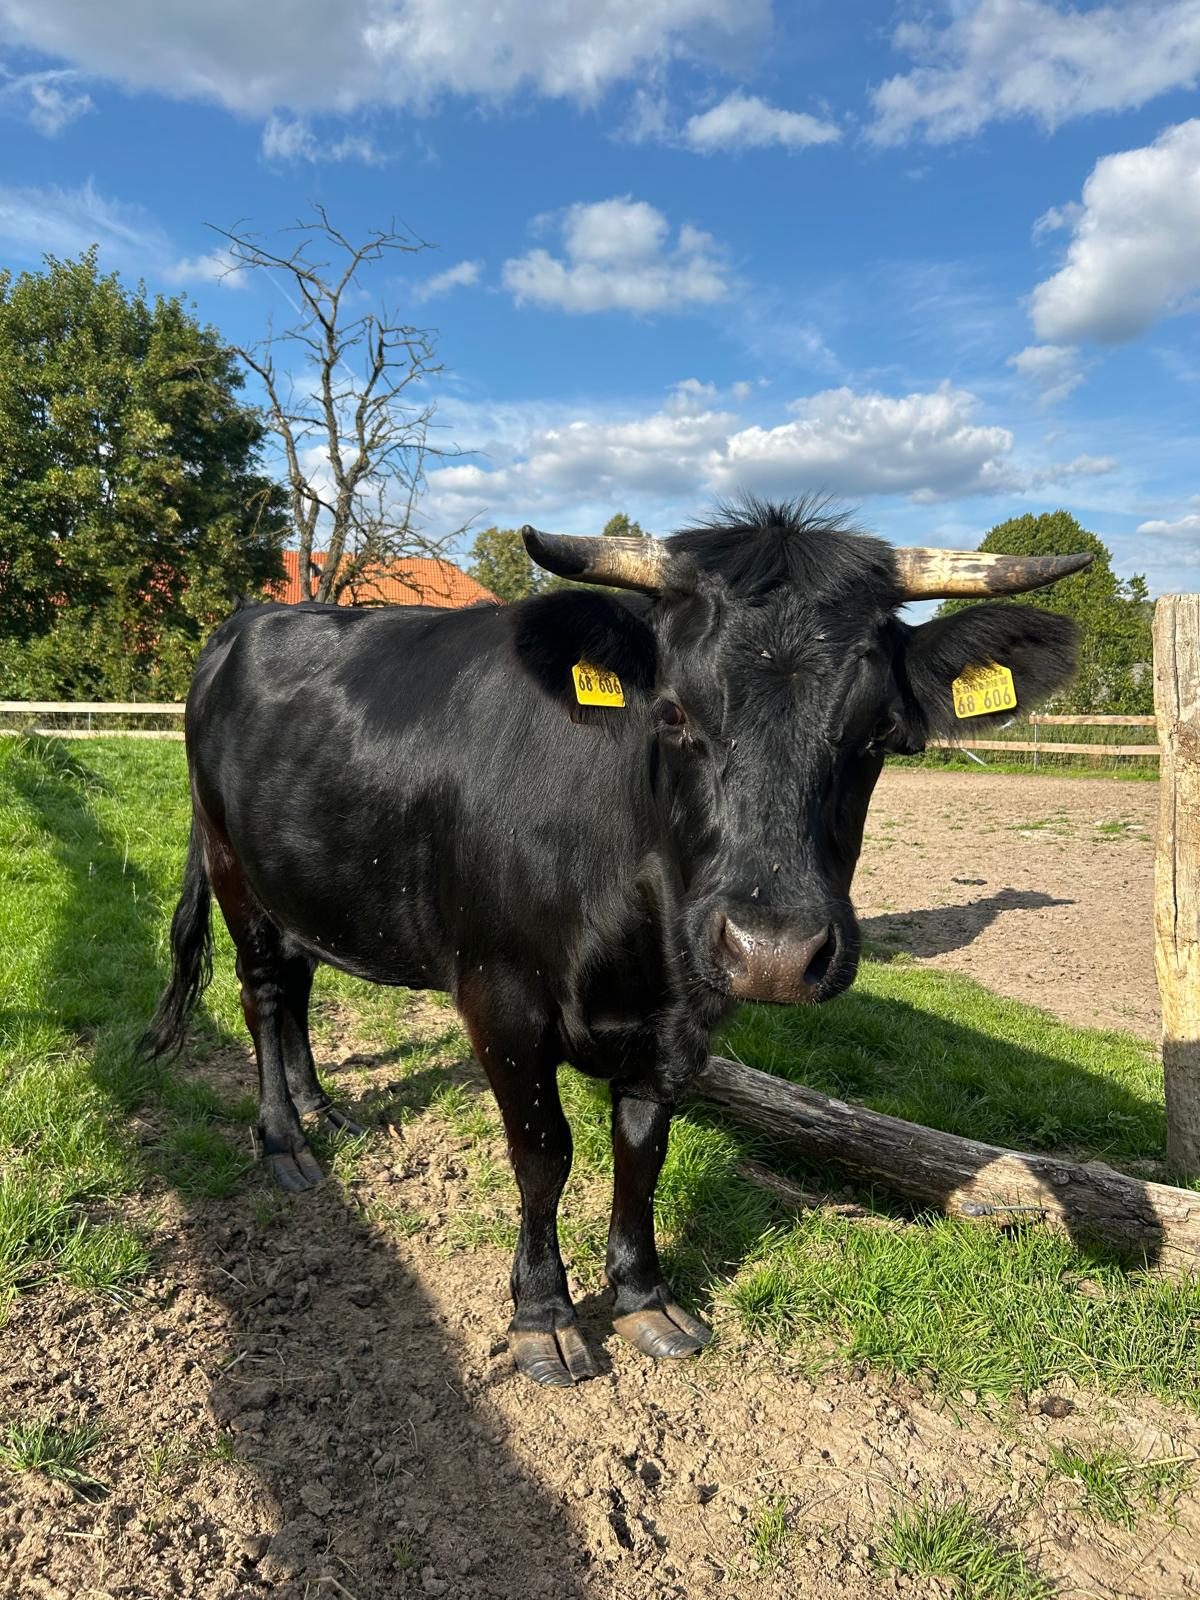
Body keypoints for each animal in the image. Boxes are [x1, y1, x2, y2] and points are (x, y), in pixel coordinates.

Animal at [144, 500, 1087, 1386]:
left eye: (882, 733)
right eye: (672, 713)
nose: (775, 951)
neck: (636, 939)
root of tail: (247, 622)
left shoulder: (680, 1019)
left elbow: (643, 1151)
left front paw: (642, 1297)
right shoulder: (501, 997)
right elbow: (543, 1154)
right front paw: (544, 1316)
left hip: (301, 874)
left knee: (300, 981)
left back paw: (321, 1107)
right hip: (232, 867)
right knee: (264, 995)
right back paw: (285, 1141)